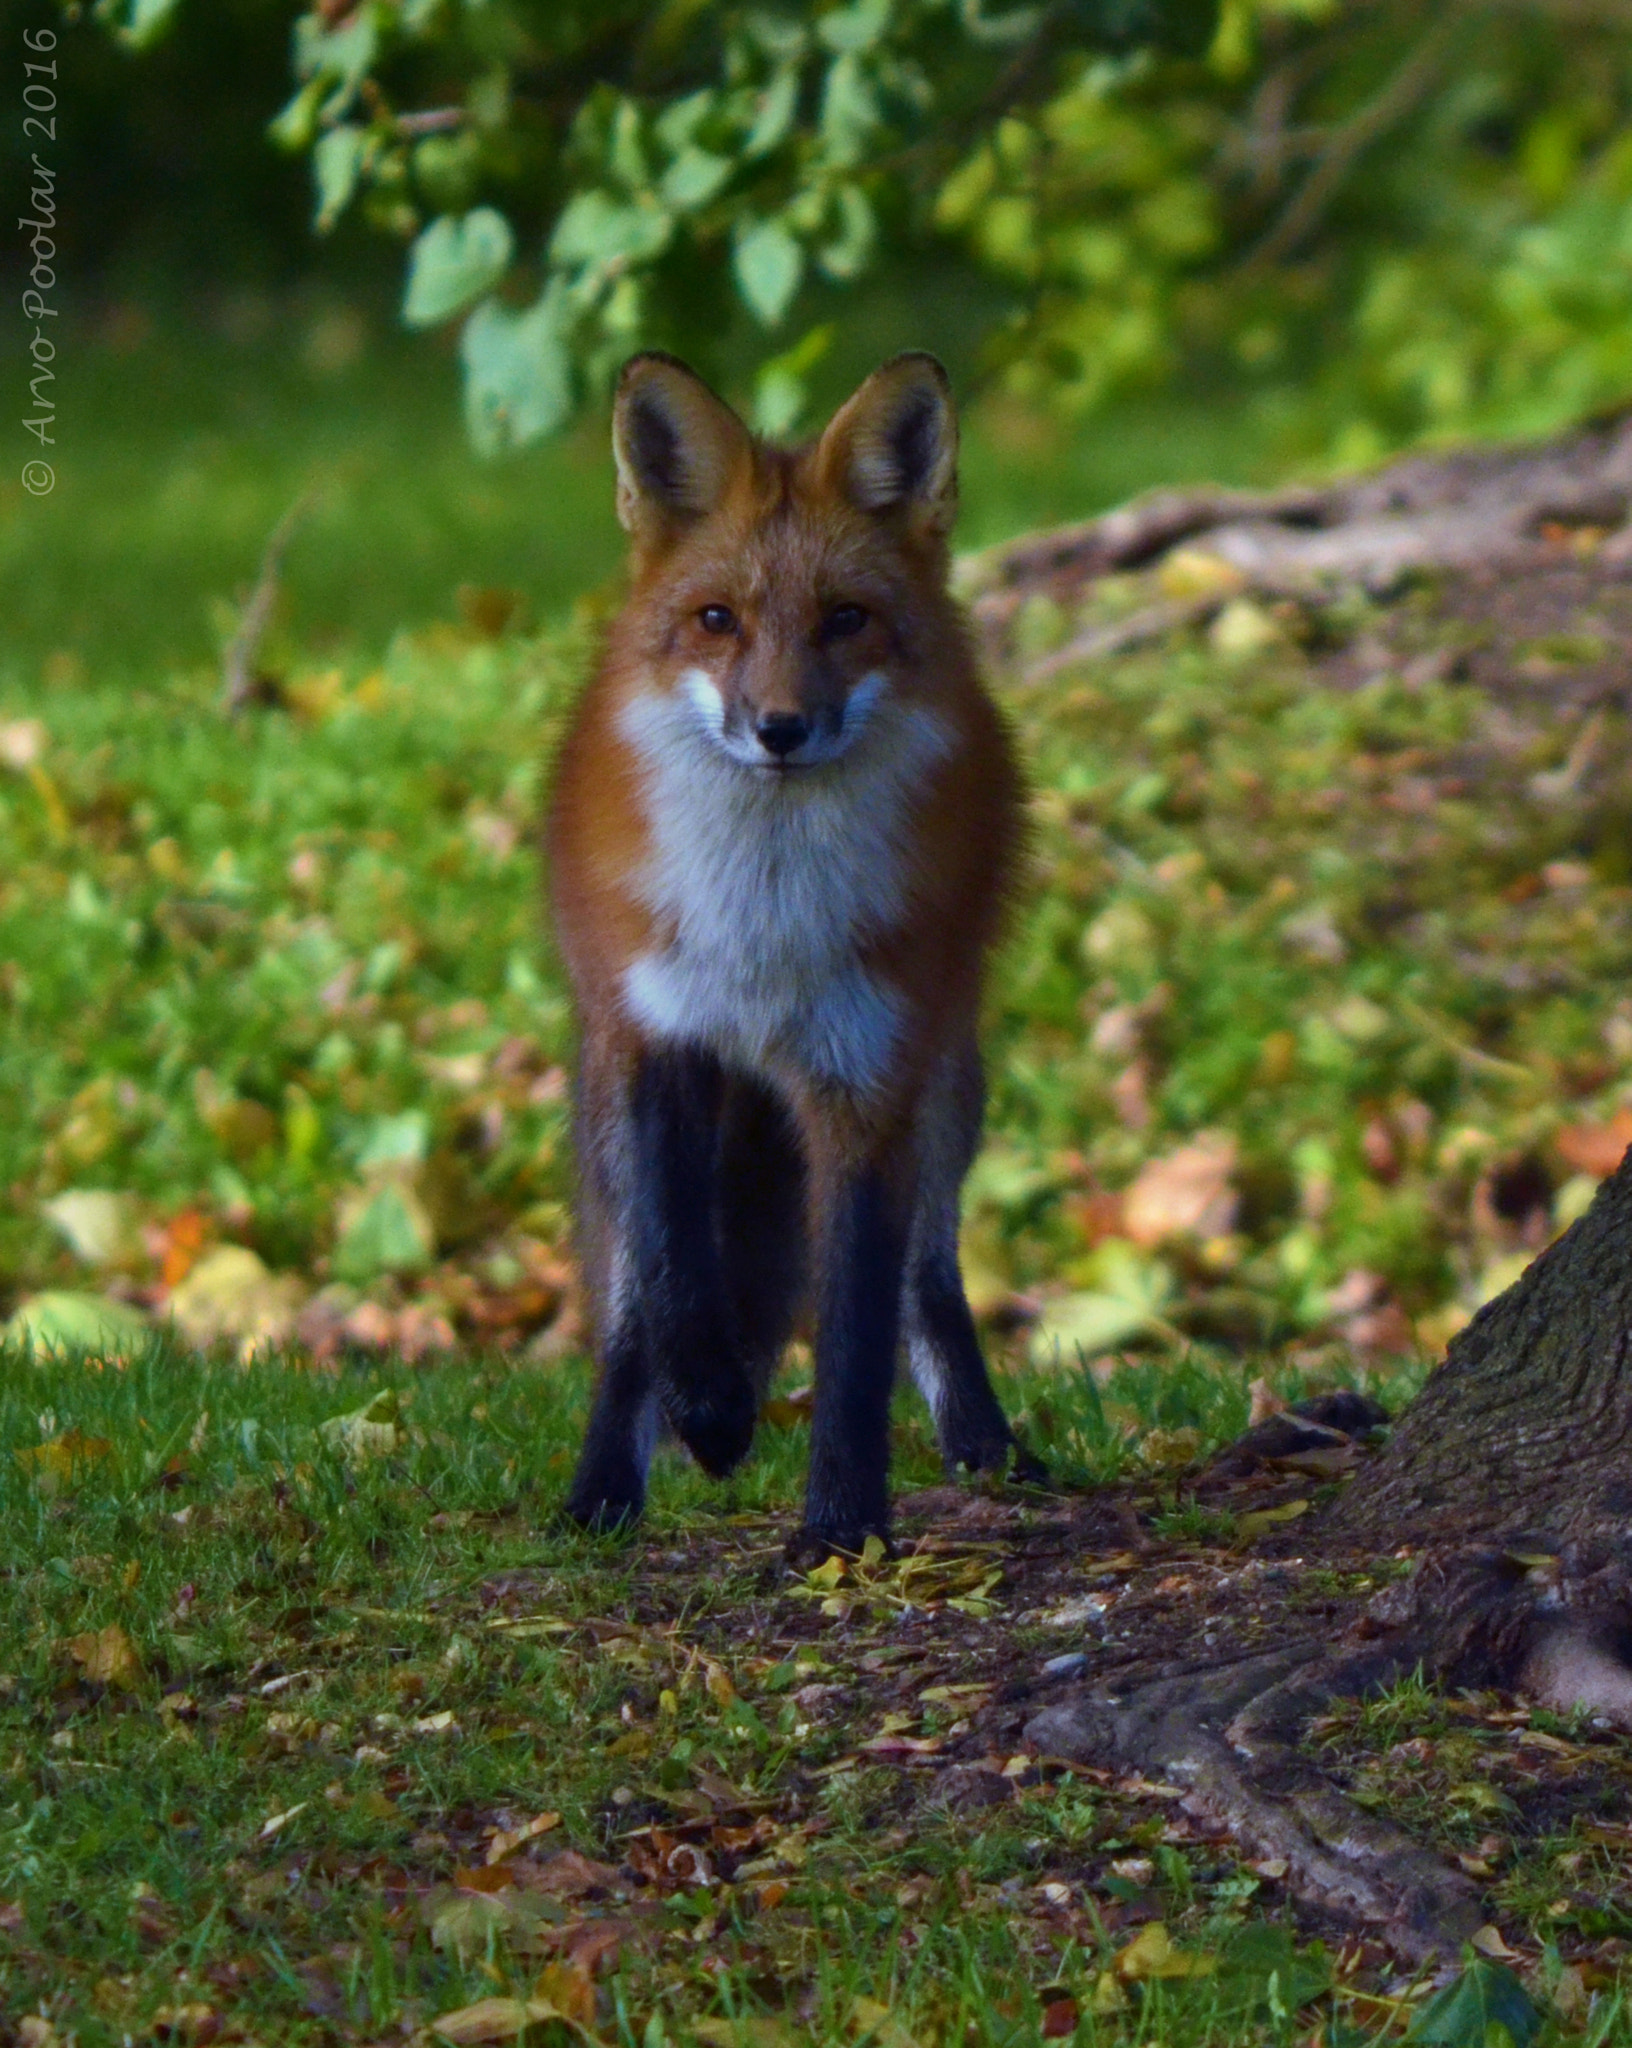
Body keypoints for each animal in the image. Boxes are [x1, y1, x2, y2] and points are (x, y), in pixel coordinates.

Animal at [540, 348, 1036, 1548]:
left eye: (846, 619)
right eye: (717, 618)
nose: (779, 729)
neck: (765, 930)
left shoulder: (868, 1079)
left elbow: (857, 1328)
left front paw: (841, 1530)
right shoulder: (659, 1035)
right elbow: (674, 1274)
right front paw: (712, 1412)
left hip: (947, 1087)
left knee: (928, 1280)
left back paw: (988, 1447)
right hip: (602, 1093)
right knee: (627, 1301)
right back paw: (604, 1489)